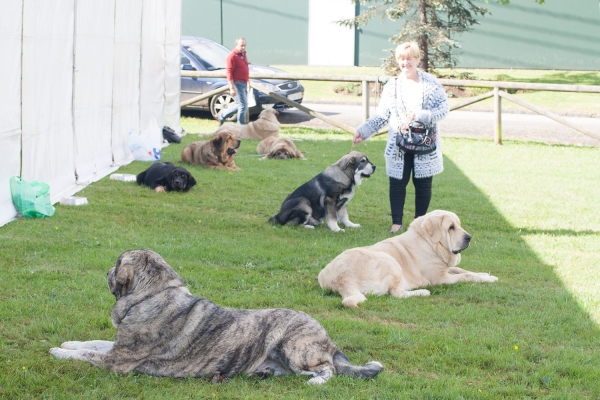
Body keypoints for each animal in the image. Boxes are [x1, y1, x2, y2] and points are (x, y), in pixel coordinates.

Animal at [316, 211, 500, 308]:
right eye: (451, 227)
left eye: (459, 225)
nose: (469, 237)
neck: (430, 243)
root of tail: (342, 278)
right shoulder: (441, 277)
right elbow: (465, 275)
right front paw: (488, 279)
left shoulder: (445, 268)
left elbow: (463, 270)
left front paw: (485, 274)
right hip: (390, 261)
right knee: (397, 294)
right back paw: (423, 292)